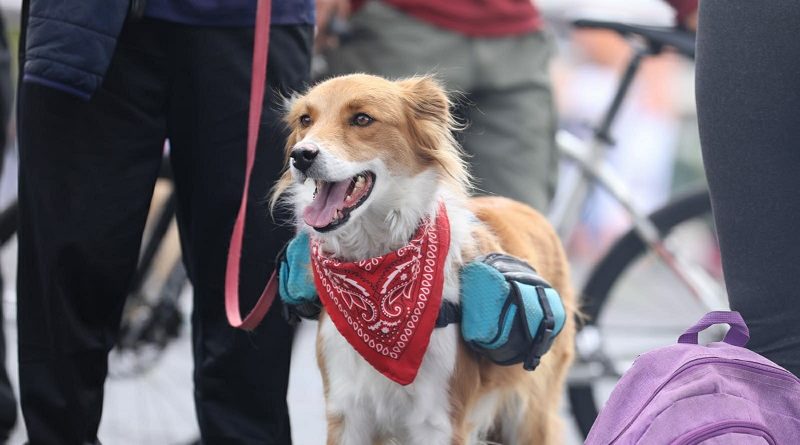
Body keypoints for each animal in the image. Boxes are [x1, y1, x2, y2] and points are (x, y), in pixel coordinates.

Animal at [271, 74, 575, 445]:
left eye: (362, 119)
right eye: (305, 120)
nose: (301, 156)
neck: (374, 264)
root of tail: (527, 209)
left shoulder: (438, 423)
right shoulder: (347, 414)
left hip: (529, 418)